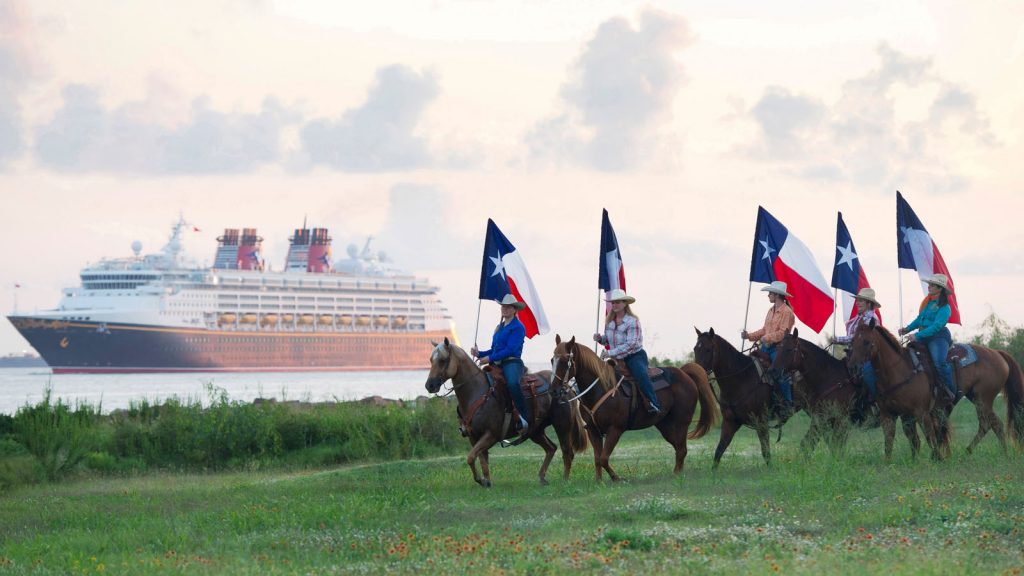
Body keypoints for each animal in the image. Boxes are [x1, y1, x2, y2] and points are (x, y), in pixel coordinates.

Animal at [421, 334, 585, 485]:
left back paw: (565, 480)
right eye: (430, 360)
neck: (477, 393)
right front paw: (486, 482)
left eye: (443, 360)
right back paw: (542, 477)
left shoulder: (490, 435)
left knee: (567, 452)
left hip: (562, 425)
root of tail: (565, 386)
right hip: (535, 431)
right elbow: (481, 459)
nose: (430, 385)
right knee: (551, 448)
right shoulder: (473, 437)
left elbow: (471, 457)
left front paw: (481, 480)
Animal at [552, 332, 720, 479]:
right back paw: (677, 473)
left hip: (681, 423)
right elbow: (598, 459)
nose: (553, 390)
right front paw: (599, 482)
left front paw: (616, 478)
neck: (601, 388)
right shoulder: (593, 430)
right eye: (552, 360)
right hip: (665, 425)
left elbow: (604, 458)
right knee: (679, 448)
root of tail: (684, 373)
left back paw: (677, 475)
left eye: (565, 362)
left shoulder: (615, 429)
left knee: (682, 449)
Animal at [692, 327, 794, 467]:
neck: (742, 378)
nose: (696, 374)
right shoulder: (730, 421)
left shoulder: (761, 421)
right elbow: (719, 451)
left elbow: (766, 452)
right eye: (695, 349)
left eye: (708, 349)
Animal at [847, 323, 950, 461]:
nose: (853, 367)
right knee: (918, 439)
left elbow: (930, 438)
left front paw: (937, 459)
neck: (898, 373)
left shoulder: (921, 413)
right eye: (852, 341)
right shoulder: (889, 415)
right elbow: (889, 441)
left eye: (866, 341)